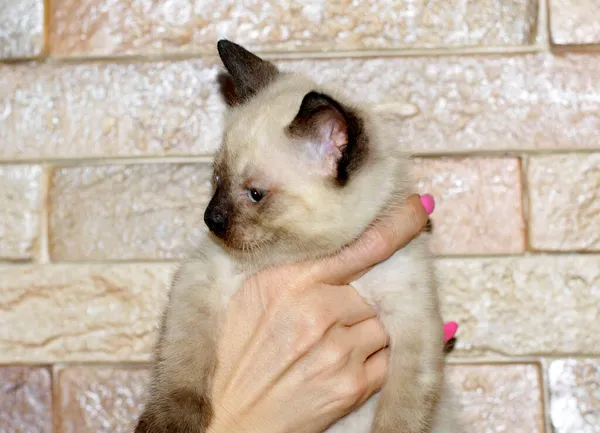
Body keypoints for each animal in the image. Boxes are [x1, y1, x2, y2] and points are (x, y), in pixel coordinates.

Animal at [135, 40, 460, 432]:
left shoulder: (414, 323)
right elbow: (182, 358)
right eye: (216, 179)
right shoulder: (202, 277)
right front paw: (170, 421)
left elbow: (400, 414)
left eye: (255, 194)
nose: (210, 219)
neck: (311, 255)